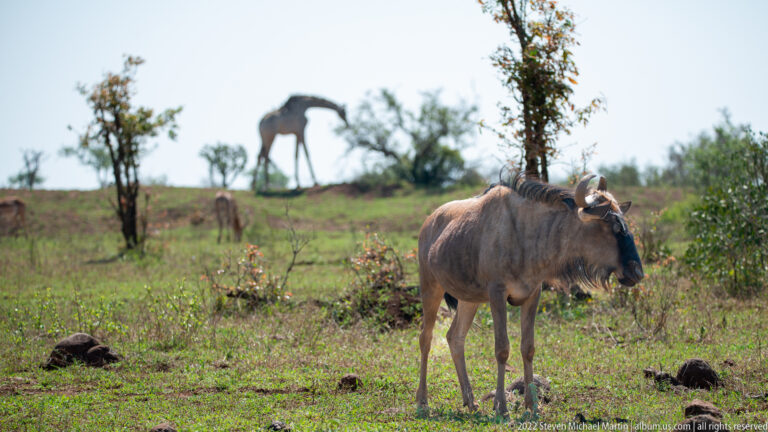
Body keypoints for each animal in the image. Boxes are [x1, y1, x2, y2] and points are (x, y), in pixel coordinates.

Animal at [416, 174, 644, 417]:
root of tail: (429, 223)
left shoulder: (533, 295)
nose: (637, 272)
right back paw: (422, 401)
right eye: (613, 227)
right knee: (426, 338)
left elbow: (528, 348)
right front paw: (502, 407)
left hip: (469, 300)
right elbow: (502, 349)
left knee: (455, 337)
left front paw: (532, 405)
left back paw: (470, 401)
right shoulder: (497, 294)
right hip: (431, 287)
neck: (528, 235)